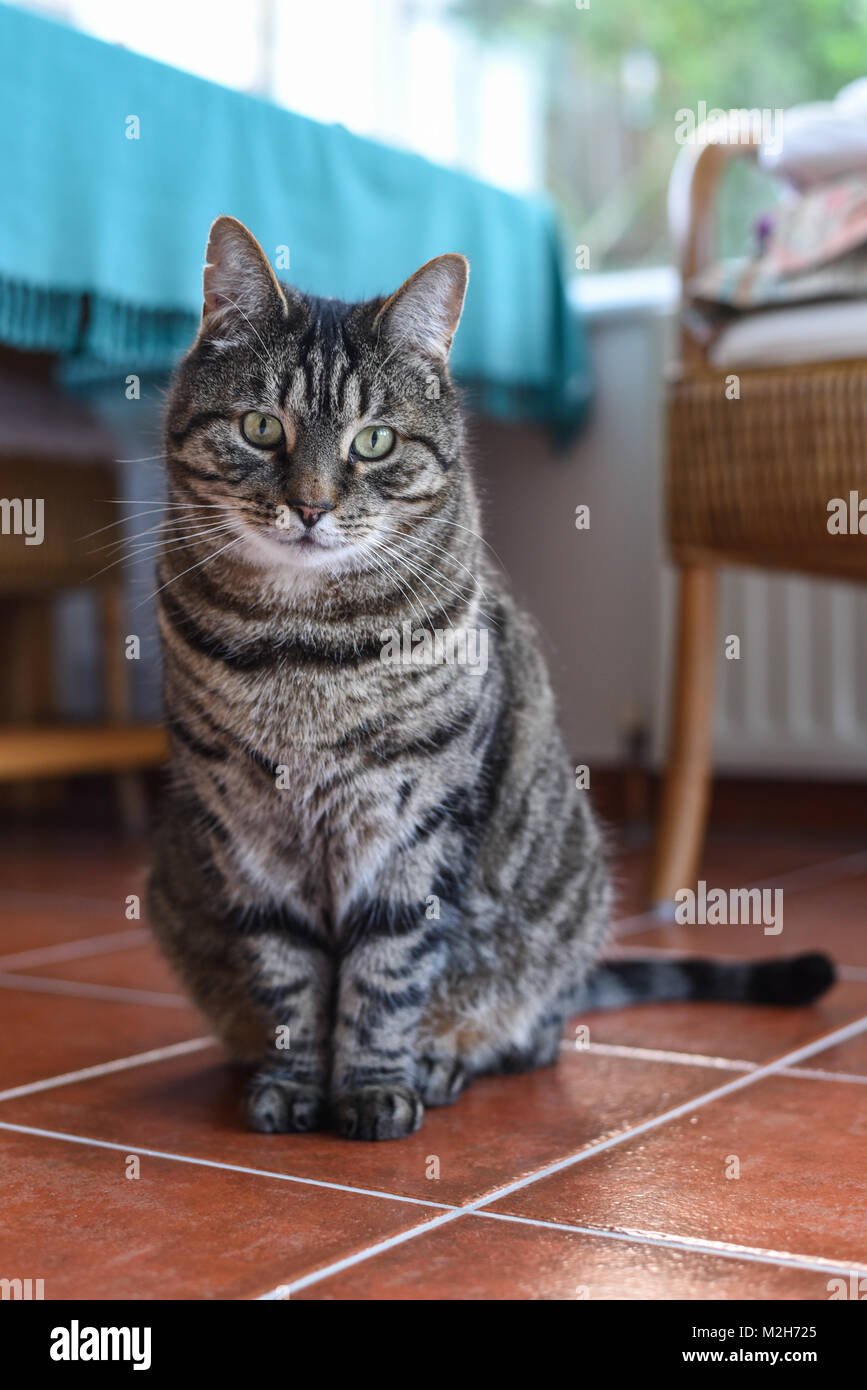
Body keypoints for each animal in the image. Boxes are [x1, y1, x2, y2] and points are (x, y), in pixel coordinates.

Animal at [147, 211, 833, 1134]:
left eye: (373, 442)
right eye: (261, 428)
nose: (311, 506)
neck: (302, 646)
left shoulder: (417, 818)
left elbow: (387, 972)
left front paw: (371, 1087)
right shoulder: (245, 828)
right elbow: (285, 974)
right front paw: (292, 1083)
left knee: (530, 1034)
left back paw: (445, 1060)